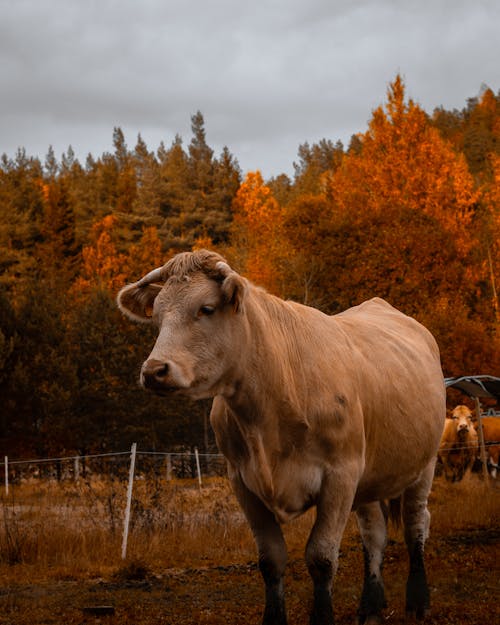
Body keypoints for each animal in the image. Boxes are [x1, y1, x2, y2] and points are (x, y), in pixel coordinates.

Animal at [117, 249, 446, 624]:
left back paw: (418, 601)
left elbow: (321, 557)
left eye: (206, 308)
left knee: (415, 525)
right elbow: (271, 559)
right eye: (157, 317)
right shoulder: (242, 481)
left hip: (423, 465)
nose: (154, 371)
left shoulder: (341, 474)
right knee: (374, 534)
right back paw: (370, 606)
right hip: (371, 476)